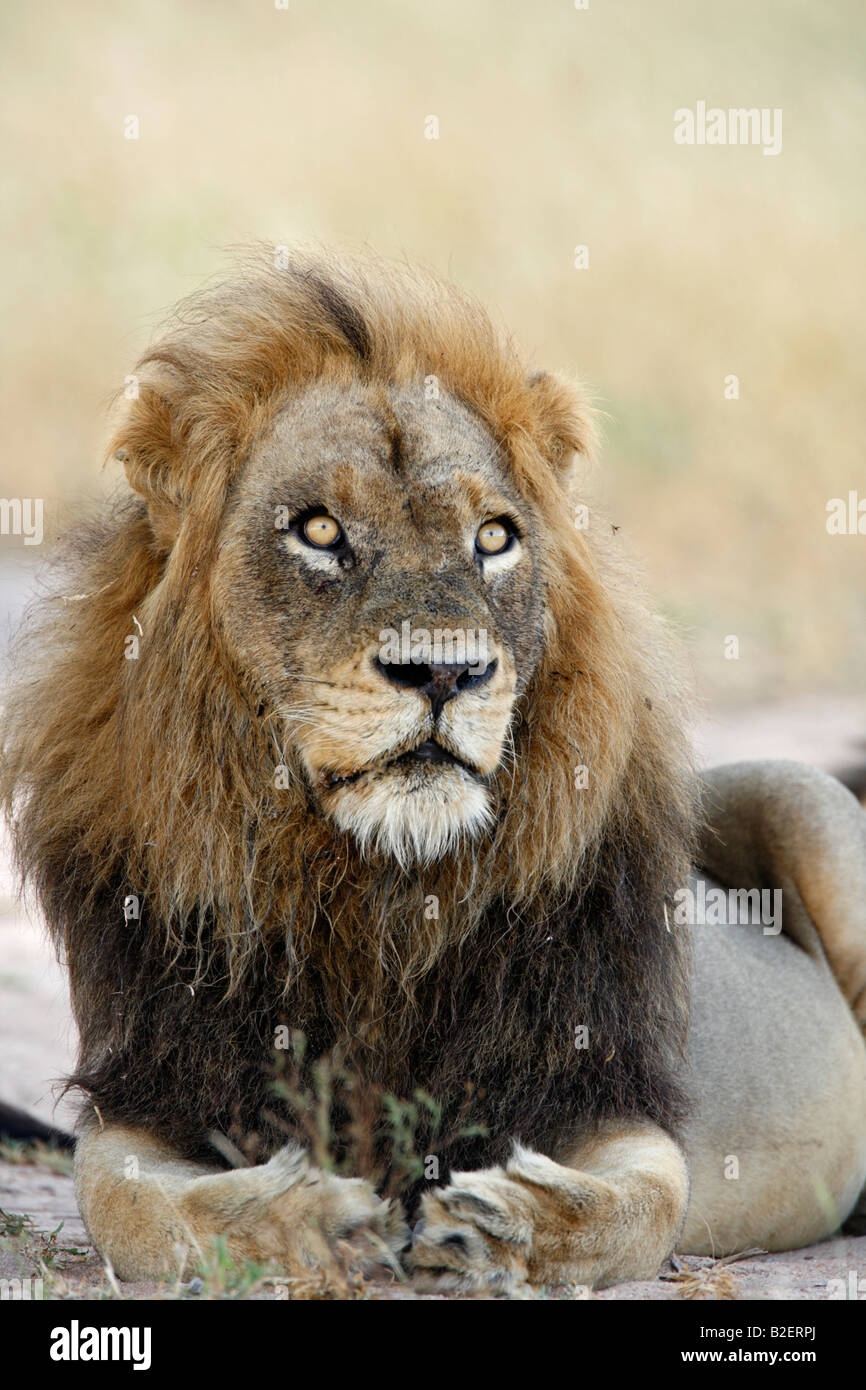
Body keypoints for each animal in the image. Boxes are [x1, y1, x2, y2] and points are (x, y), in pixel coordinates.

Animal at [2, 248, 866, 1293]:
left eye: (493, 537)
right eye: (319, 531)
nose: (446, 672)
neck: (378, 895)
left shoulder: (601, 1088)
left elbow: (639, 1204)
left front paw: (504, 1223)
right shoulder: (156, 1090)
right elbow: (133, 1204)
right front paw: (307, 1218)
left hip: (806, 799)